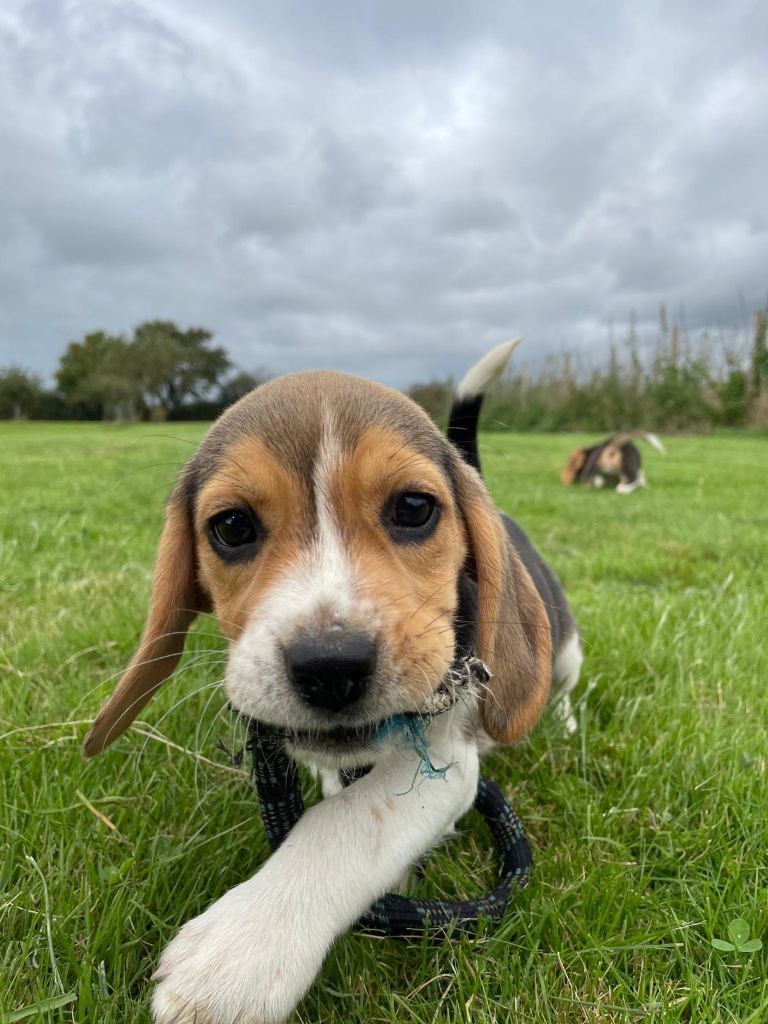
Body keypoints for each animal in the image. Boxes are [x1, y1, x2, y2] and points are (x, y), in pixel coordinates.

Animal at [83, 337, 581, 1024]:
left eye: (414, 508)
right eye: (231, 527)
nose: (330, 666)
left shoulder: (449, 764)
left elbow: (347, 821)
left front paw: (242, 950)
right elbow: (338, 794)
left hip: (565, 649)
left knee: (564, 689)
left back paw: (563, 724)